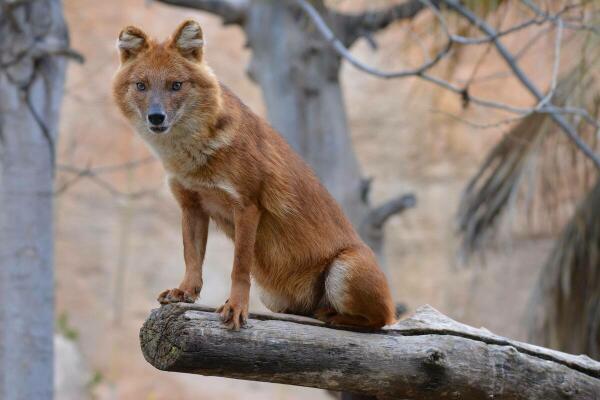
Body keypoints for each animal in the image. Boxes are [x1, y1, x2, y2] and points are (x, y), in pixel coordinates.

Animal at [112, 20, 396, 330]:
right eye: (141, 85)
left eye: (176, 85)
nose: (156, 117)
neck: (190, 154)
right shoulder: (192, 204)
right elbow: (192, 256)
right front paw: (185, 291)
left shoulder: (248, 206)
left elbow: (240, 265)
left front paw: (236, 307)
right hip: (274, 295)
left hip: (345, 269)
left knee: (381, 320)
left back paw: (332, 315)